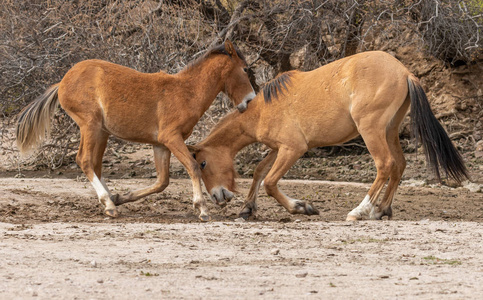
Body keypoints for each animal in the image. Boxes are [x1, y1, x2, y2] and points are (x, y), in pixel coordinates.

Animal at [16, 39, 255, 220]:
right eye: (245, 70)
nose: (250, 101)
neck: (186, 91)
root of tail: (62, 82)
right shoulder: (172, 138)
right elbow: (192, 167)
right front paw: (202, 209)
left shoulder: (160, 145)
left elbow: (162, 182)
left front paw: (122, 197)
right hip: (90, 125)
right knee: (84, 160)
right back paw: (108, 205)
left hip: (102, 133)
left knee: (95, 164)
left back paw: (111, 200)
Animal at [191, 51, 470, 220]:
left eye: (203, 163)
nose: (218, 198)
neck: (262, 110)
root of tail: (404, 72)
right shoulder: (279, 149)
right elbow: (260, 171)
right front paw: (247, 208)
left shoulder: (293, 149)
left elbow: (270, 182)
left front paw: (301, 207)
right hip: (389, 130)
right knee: (399, 166)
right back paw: (381, 210)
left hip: (371, 130)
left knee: (385, 165)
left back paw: (360, 210)